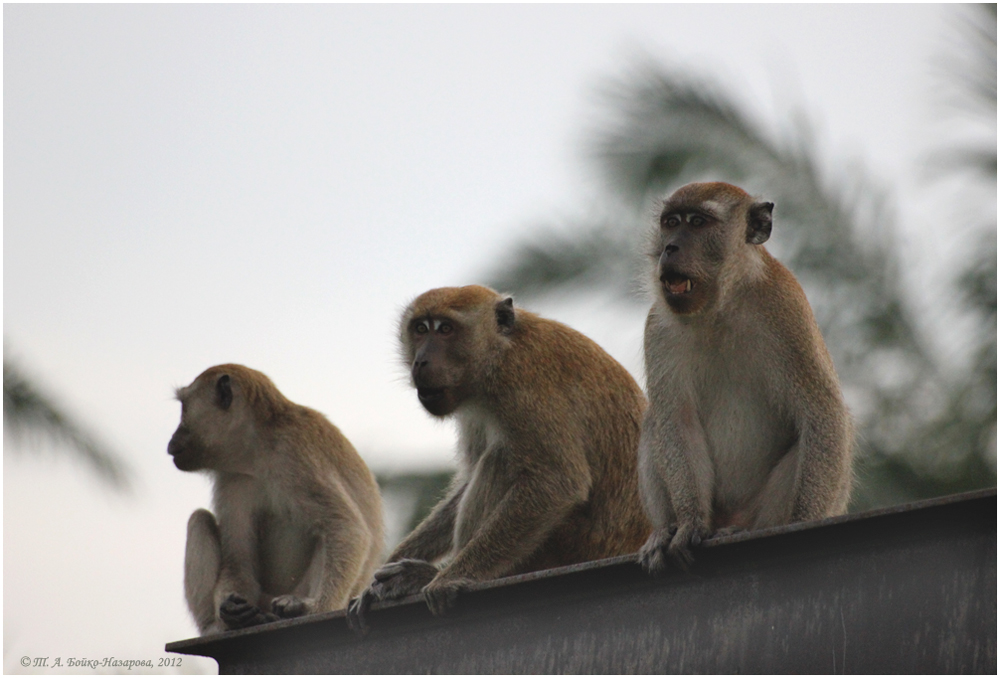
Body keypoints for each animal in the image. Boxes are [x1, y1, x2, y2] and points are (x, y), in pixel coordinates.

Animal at [168, 364, 382, 636]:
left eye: (184, 408)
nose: (171, 440)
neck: (259, 450)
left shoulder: (295, 455)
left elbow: (347, 528)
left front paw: (316, 608)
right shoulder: (234, 480)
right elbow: (238, 560)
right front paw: (231, 611)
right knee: (199, 519)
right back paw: (217, 625)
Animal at [348, 286, 652, 632]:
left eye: (446, 329)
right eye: (421, 329)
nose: (420, 360)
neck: (499, 352)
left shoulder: (523, 386)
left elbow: (557, 481)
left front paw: (450, 576)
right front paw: (377, 579)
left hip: (569, 546)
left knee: (502, 459)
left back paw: (427, 575)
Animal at [636, 182, 856, 572]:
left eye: (697, 222)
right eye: (671, 222)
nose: (669, 247)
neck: (720, 307)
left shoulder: (785, 308)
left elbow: (822, 412)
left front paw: (803, 522)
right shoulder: (657, 329)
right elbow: (676, 421)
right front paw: (689, 522)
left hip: (759, 512)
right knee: (655, 422)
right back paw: (664, 531)